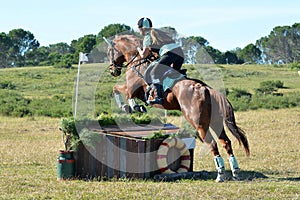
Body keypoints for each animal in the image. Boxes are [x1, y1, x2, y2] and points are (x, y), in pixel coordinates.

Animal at [104, 34, 250, 183]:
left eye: (109, 52)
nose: (112, 70)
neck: (137, 61)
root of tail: (205, 89)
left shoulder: (131, 88)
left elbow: (117, 90)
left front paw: (130, 106)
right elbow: (118, 90)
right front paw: (136, 107)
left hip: (199, 124)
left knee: (212, 144)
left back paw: (220, 175)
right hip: (215, 122)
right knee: (226, 142)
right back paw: (235, 172)